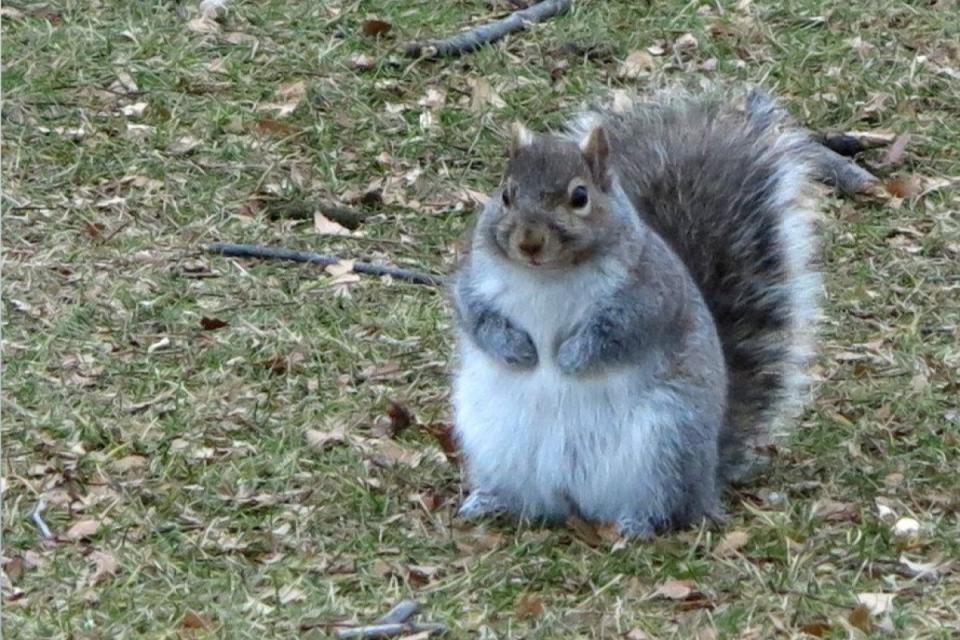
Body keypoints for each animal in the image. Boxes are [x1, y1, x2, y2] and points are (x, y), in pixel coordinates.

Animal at [448, 89, 816, 540]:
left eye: (580, 197)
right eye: (505, 195)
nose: (529, 242)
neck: (547, 274)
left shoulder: (649, 297)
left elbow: (619, 333)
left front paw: (569, 359)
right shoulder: (475, 283)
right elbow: (476, 317)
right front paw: (518, 350)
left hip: (667, 443)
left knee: (669, 507)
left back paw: (637, 524)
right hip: (496, 445)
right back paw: (490, 502)